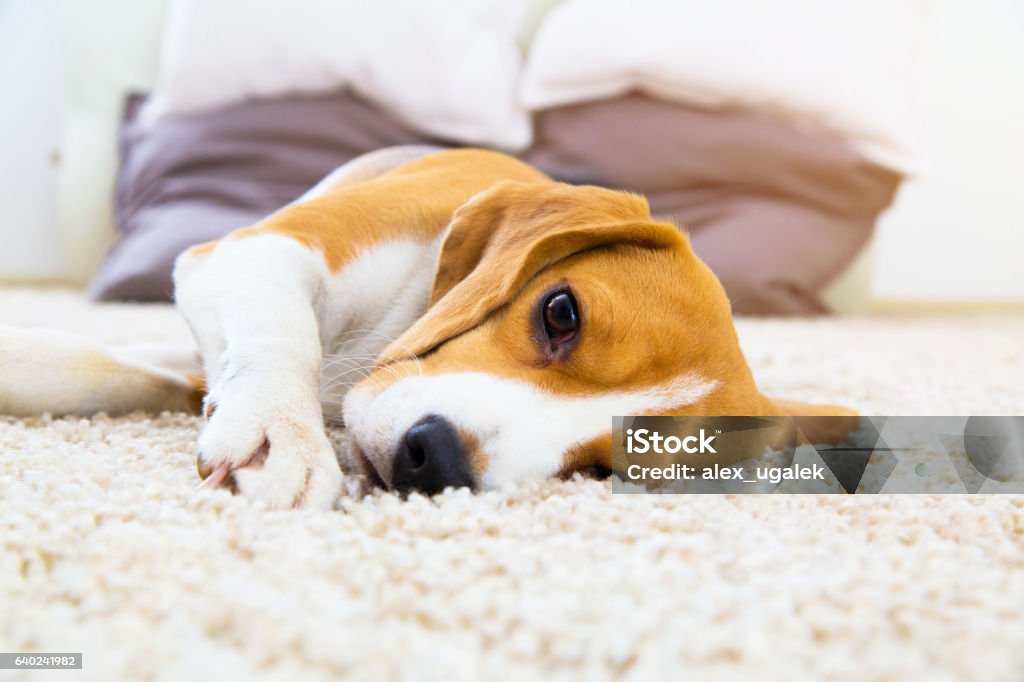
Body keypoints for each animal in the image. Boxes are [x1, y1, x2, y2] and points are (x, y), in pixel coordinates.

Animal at [0, 150, 847, 509]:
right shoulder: (255, 252)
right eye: (560, 313)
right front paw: (282, 433)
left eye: (605, 468)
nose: (435, 458)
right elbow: (275, 340)